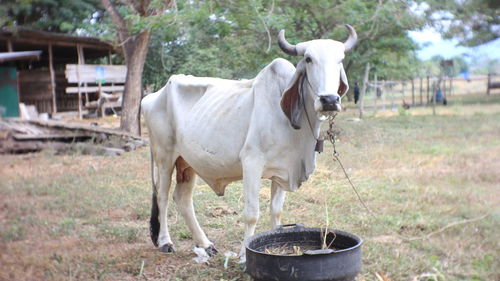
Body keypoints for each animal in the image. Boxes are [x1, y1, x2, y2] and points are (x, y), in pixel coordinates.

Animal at [141, 25, 358, 260]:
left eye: (340, 59)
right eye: (308, 59)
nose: (329, 100)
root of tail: (151, 96)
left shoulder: (284, 169)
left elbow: (276, 211)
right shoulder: (252, 162)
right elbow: (252, 213)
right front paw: (245, 257)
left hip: (187, 162)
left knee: (182, 199)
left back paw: (206, 245)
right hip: (164, 157)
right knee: (162, 197)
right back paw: (165, 242)